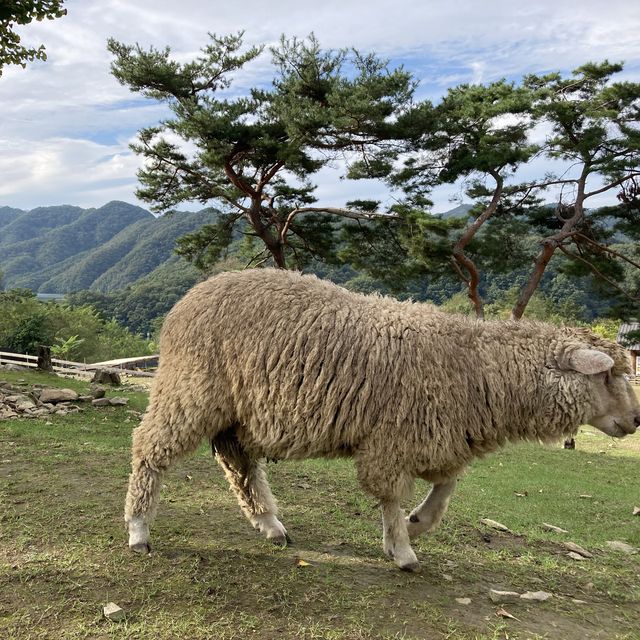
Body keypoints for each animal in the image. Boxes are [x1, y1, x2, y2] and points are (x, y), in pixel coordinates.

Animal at [126, 268, 640, 572]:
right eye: (608, 374)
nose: (635, 420)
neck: (474, 368)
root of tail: (190, 297)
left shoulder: (439, 438)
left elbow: (445, 490)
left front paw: (418, 524)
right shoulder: (393, 440)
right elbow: (391, 497)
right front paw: (403, 549)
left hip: (238, 413)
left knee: (239, 463)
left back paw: (270, 524)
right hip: (191, 389)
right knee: (149, 448)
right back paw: (138, 530)